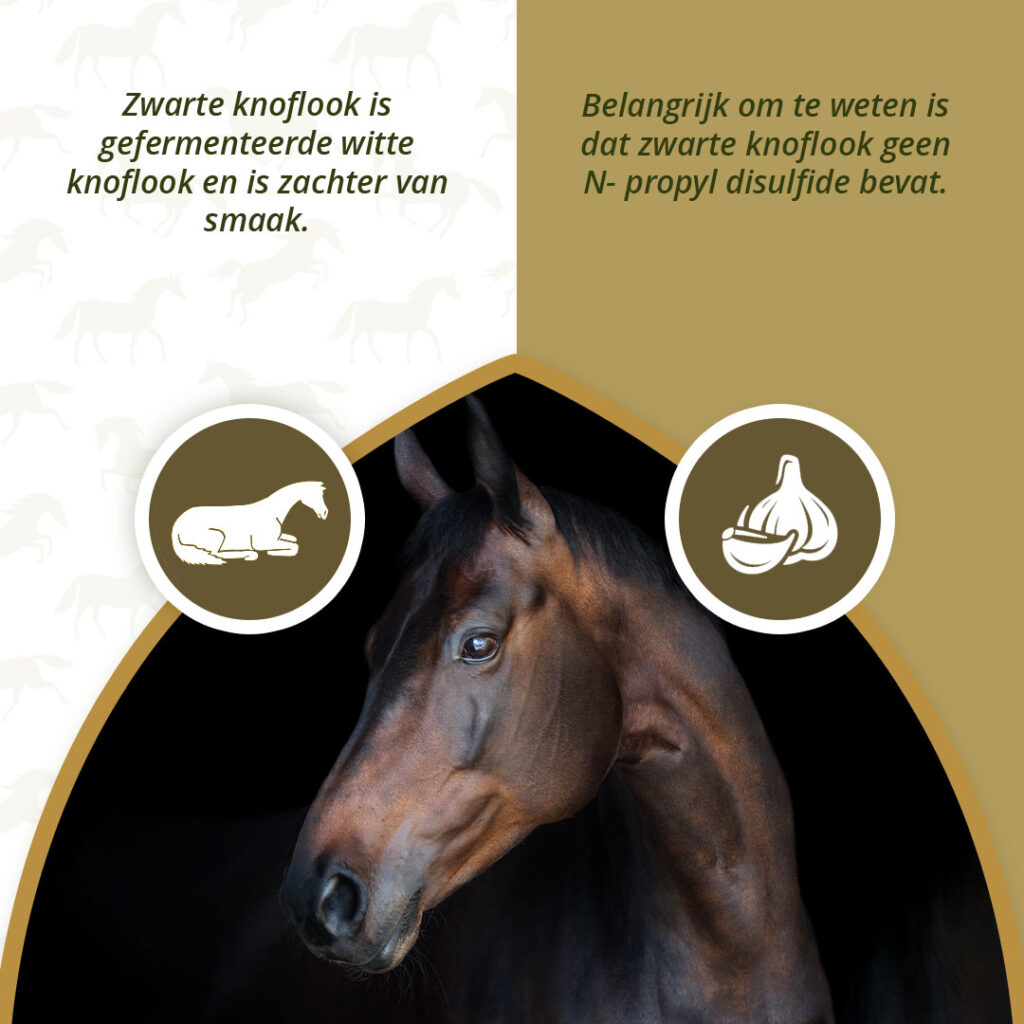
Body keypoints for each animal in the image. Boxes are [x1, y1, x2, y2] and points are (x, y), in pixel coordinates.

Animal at [172, 481, 328, 566]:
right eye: (316, 495)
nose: (325, 513)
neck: (273, 512)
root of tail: (176, 526)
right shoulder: (263, 543)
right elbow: (294, 547)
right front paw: (273, 552)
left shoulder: (276, 537)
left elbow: (293, 540)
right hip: (217, 536)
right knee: (216, 554)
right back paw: (248, 554)